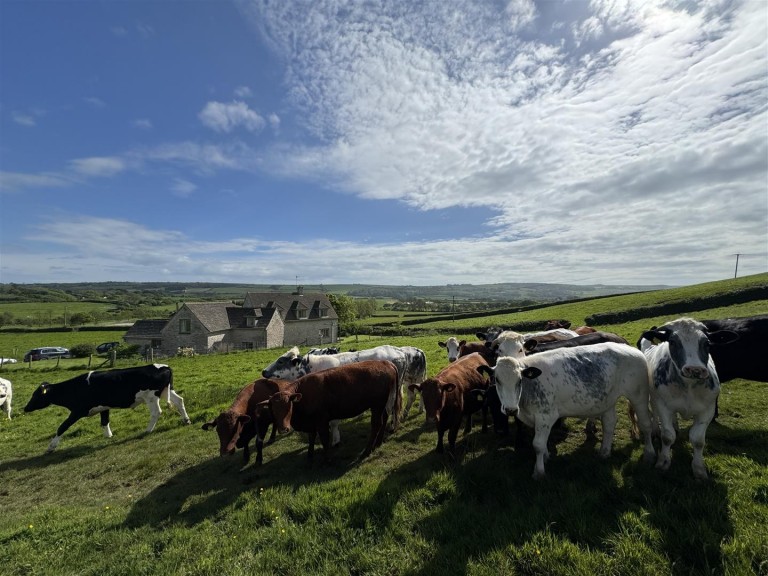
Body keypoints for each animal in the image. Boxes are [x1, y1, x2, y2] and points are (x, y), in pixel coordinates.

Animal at [23, 362, 191, 452]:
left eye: (36, 395)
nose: (25, 408)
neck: (75, 388)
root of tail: (164, 366)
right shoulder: (104, 408)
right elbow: (104, 422)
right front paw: (109, 436)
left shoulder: (78, 411)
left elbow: (62, 426)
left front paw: (51, 446)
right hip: (167, 390)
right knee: (179, 401)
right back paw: (186, 420)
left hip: (151, 396)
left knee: (157, 412)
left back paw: (148, 430)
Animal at [262, 358, 400, 462]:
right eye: (273, 409)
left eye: (289, 406)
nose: (283, 429)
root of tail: (385, 363)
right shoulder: (311, 423)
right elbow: (311, 438)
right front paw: (309, 456)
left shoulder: (322, 421)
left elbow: (324, 439)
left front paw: (326, 458)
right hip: (382, 405)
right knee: (385, 418)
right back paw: (378, 443)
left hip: (377, 406)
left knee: (377, 424)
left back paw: (367, 451)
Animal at [480, 344, 656, 480]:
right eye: (497, 380)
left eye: (519, 380)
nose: (510, 409)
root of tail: (630, 348)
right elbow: (543, 443)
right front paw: (546, 457)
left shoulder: (546, 415)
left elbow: (537, 444)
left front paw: (539, 471)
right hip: (608, 399)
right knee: (609, 423)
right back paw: (604, 452)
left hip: (638, 394)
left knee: (646, 424)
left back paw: (649, 453)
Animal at [640, 318, 740, 480]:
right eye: (672, 342)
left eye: (707, 343)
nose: (695, 369)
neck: (688, 386)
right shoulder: (663, 405)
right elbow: (667, 436)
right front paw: (663, 462)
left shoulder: (708, 409)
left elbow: (698, 440)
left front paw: (699, 469)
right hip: (653, 398)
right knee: (654, 414)